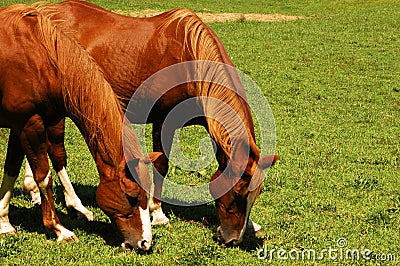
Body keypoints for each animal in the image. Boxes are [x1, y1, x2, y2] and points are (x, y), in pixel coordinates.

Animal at [0, 4, 155, 251]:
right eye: (132, 196)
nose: (145, 243)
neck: (39, 59)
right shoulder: (29, 124)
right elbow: (43, 176)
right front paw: (59, 229)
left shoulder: (20, 125)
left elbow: (11, 169)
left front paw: (4, 223)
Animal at [22, 0, 278, 246]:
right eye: (237, 194)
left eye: (253, 196)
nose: (233, 239)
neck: (189, 61)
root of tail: (44, 12)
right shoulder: (164, 121)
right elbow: (162, 165)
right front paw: (158, 213)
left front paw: (253, 225)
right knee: (57, 153)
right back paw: (74, 205)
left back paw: (34, 191)